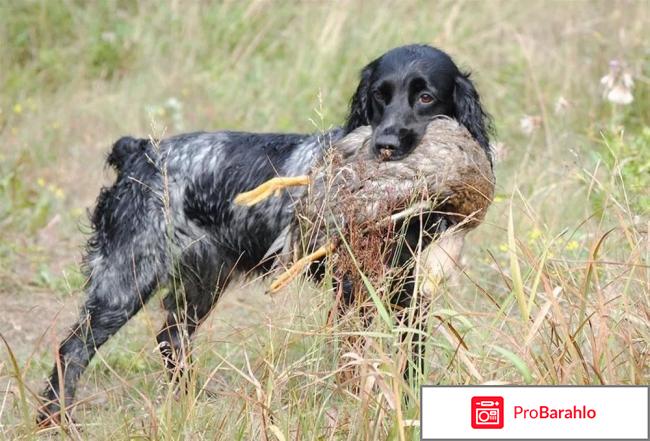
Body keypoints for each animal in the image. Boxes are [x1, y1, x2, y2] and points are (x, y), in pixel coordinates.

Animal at [38, 43, 488, 422]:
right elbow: (353, 356)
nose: (386, 144)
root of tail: (140, 152)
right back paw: (54, 420)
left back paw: (190, 404)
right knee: (72, 349)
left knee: (171, 336)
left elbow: (411, 357)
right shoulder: (351, 288)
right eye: (380, 94)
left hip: (203, 281)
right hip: (126, 279)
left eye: (425, 96)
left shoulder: (410, 291)